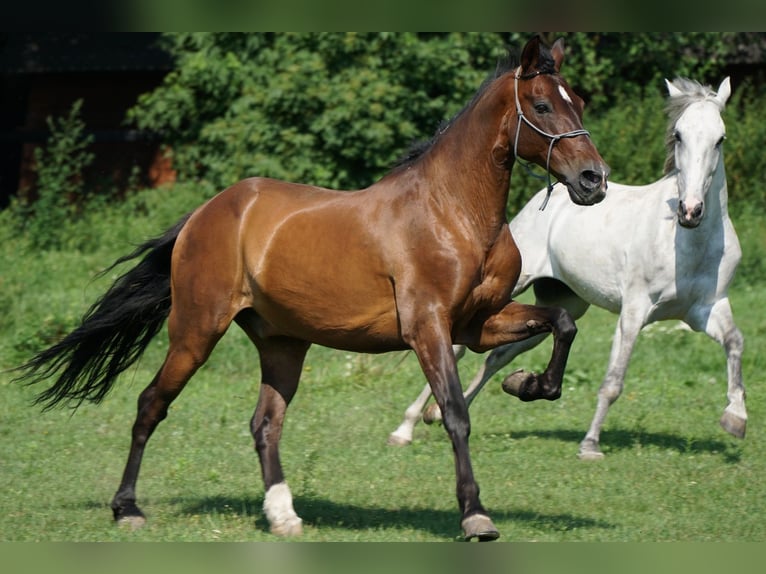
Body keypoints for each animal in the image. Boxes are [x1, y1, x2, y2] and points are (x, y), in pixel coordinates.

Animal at [15, 36, 608, 540]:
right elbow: (455, 414)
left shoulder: (478, 323)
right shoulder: (429, 327)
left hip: (282, 343)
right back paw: (127, 508)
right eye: (542, 105)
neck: (452, 212)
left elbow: (562, 324)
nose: (593, 180)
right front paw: (475, 516)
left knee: (264, 424)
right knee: (150, 405)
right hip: (195, 331)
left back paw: (283, 516)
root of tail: (206, 214)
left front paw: (528, 385)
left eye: (578, 100)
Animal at [388, 76, 748, 464]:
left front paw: (736, 418)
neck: (684, 243)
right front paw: (590, 446)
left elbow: (735, 342)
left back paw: (466, 403)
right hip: (512, 287)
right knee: (459, 349)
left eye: (720, 138)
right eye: (679, 135)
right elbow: (613, 382)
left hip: (563, 304)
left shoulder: (706, 308)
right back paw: (406, 427)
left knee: (499, 355)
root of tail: (554, 192)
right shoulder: (634, 312)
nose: (690, 210)